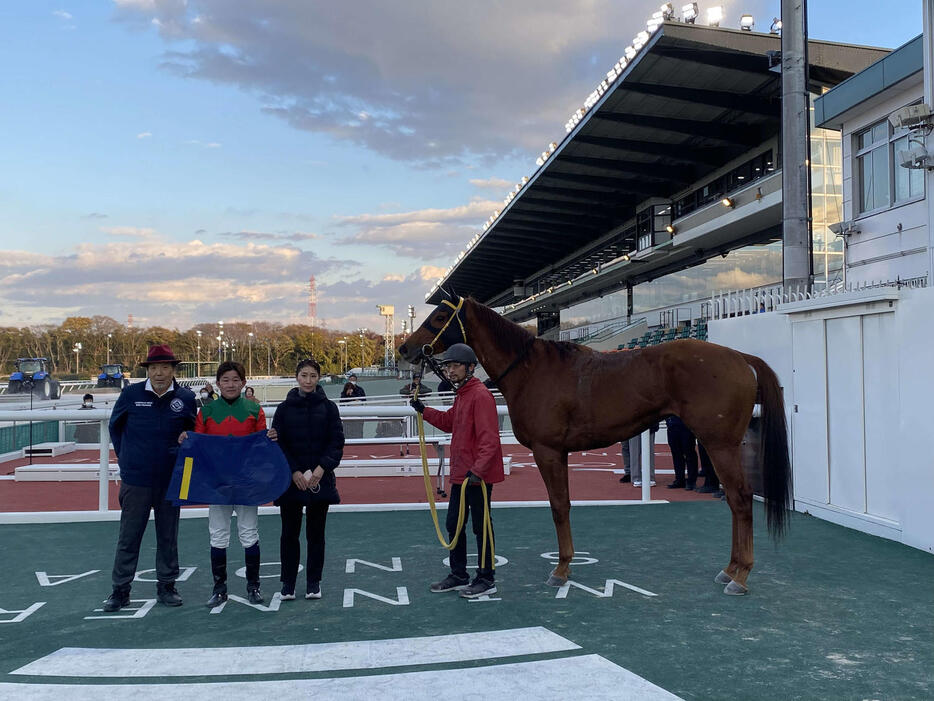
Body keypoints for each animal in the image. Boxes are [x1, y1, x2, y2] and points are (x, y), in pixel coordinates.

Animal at [398, 292, 792, 592]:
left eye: (438, 317)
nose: (405, 349)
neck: (531, 371)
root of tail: (739, 357)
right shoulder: (559, 453)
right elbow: (563, 505)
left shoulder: (548, 452)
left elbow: (559, 507)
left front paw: (561, 570)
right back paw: (730, 569)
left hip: (719, 445)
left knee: (740, 499)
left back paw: (740, 575)